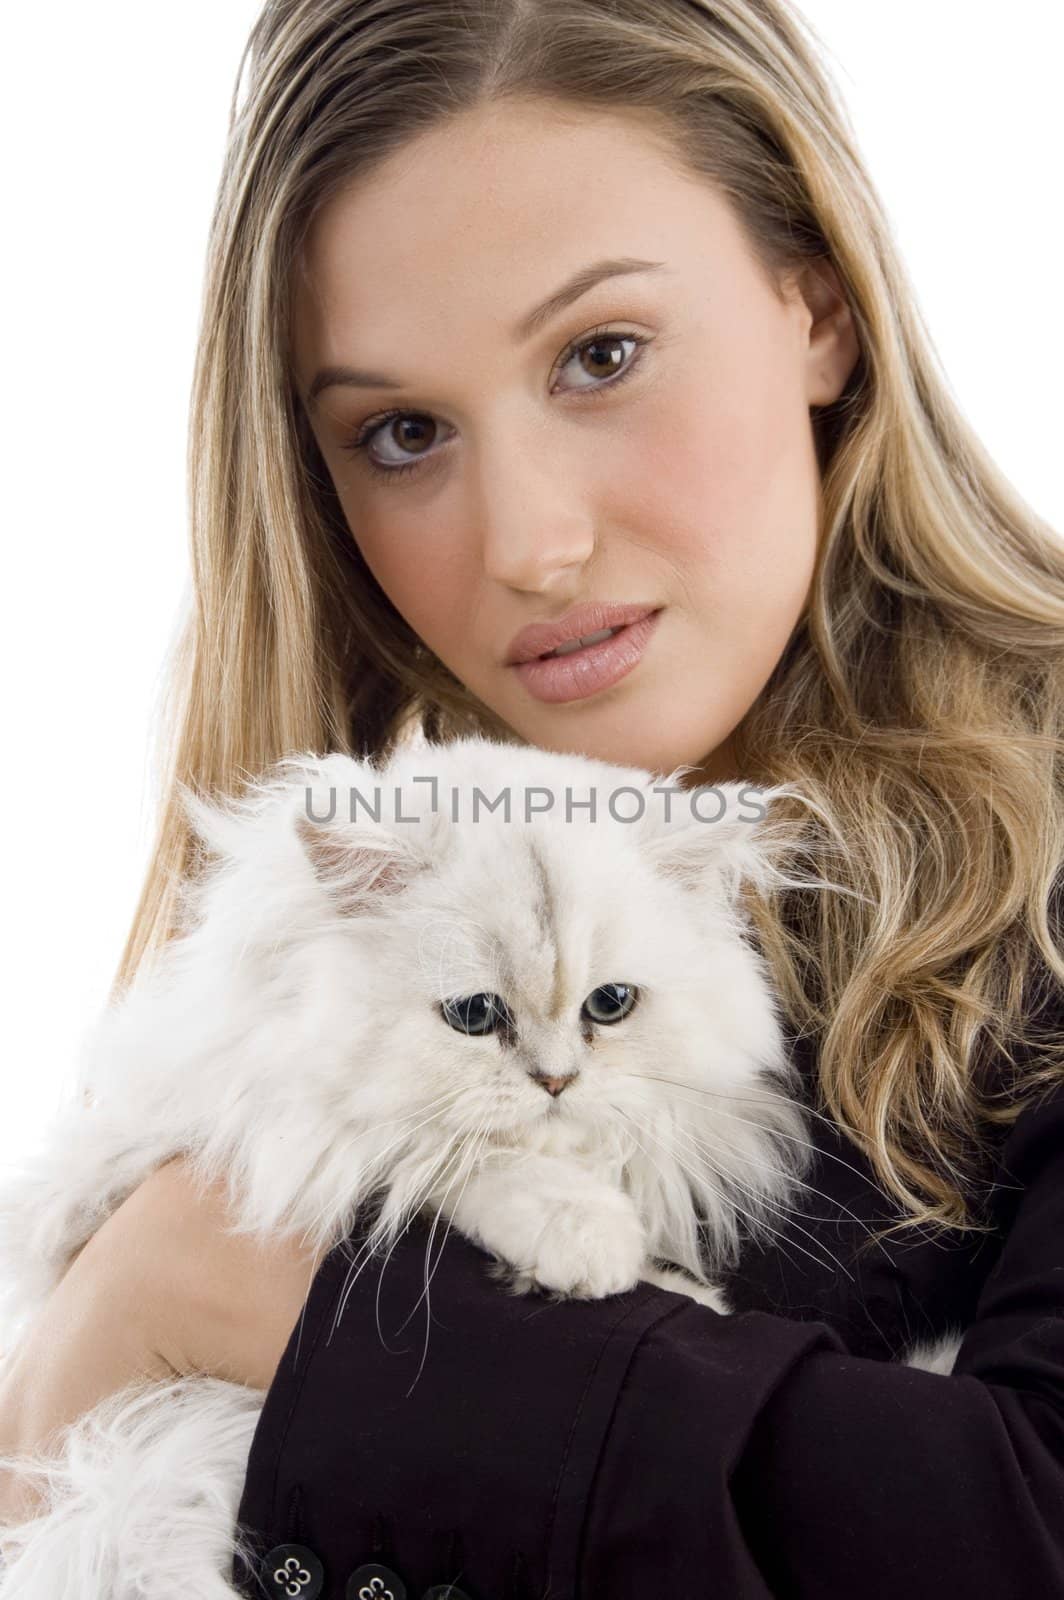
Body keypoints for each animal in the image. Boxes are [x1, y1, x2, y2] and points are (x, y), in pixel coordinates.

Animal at [0, 732, 960, 1587]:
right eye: (472, 1016)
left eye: (610, 1005)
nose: (557, 1080)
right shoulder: (269, 1129)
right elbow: (451, 1158)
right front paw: (592, 1246)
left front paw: (662, 1285)